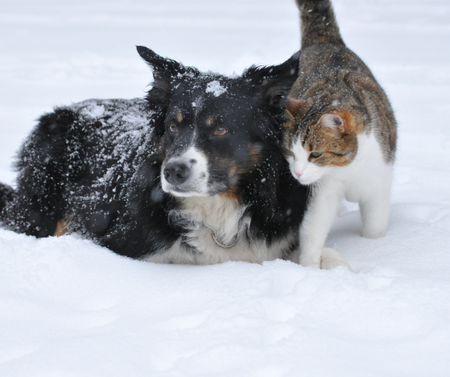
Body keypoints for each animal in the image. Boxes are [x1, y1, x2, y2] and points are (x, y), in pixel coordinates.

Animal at [284, 0, 398, 268]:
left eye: (315, 154)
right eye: (290, 152)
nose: (297, 173)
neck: (349, 168)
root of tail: (324, 41)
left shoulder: (379, 180)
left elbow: (375, 226)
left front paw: (375, 247)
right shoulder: (323, 189)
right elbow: (312, 228)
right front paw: (309, 267)